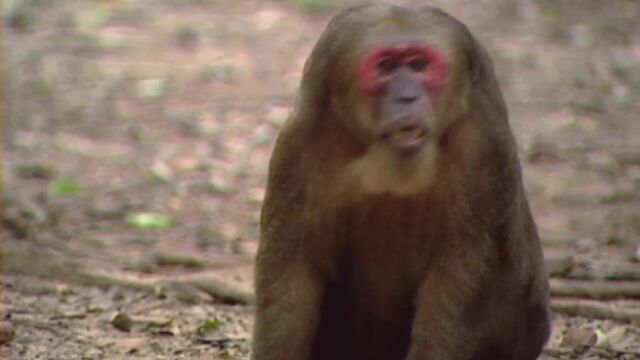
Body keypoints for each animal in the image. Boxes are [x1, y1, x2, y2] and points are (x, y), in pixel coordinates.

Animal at [250, 3, 552, 360]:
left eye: (419, 65)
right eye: (386, 66)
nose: (406, 98)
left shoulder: (482, 146)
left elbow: (459, 277)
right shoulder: (301, 141)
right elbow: (292, 269)